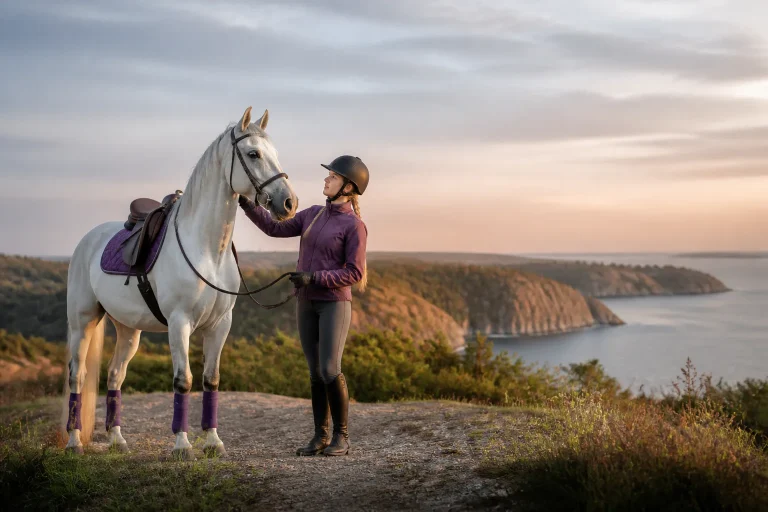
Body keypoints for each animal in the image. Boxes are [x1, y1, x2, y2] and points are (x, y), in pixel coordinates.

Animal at [63, 107, 297, 459]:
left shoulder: (220, 325)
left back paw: (117, 440)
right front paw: (182, 445)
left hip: (128, 330)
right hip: (83, 323)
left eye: (276, 154)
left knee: (115, 375)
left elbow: (211, 379)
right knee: (78, 376)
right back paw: (74, 442)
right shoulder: (179, 323)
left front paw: (213, 442)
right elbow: (183, 380)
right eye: (253, 154)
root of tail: (87, 240)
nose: (289, 203)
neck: (207, 249)